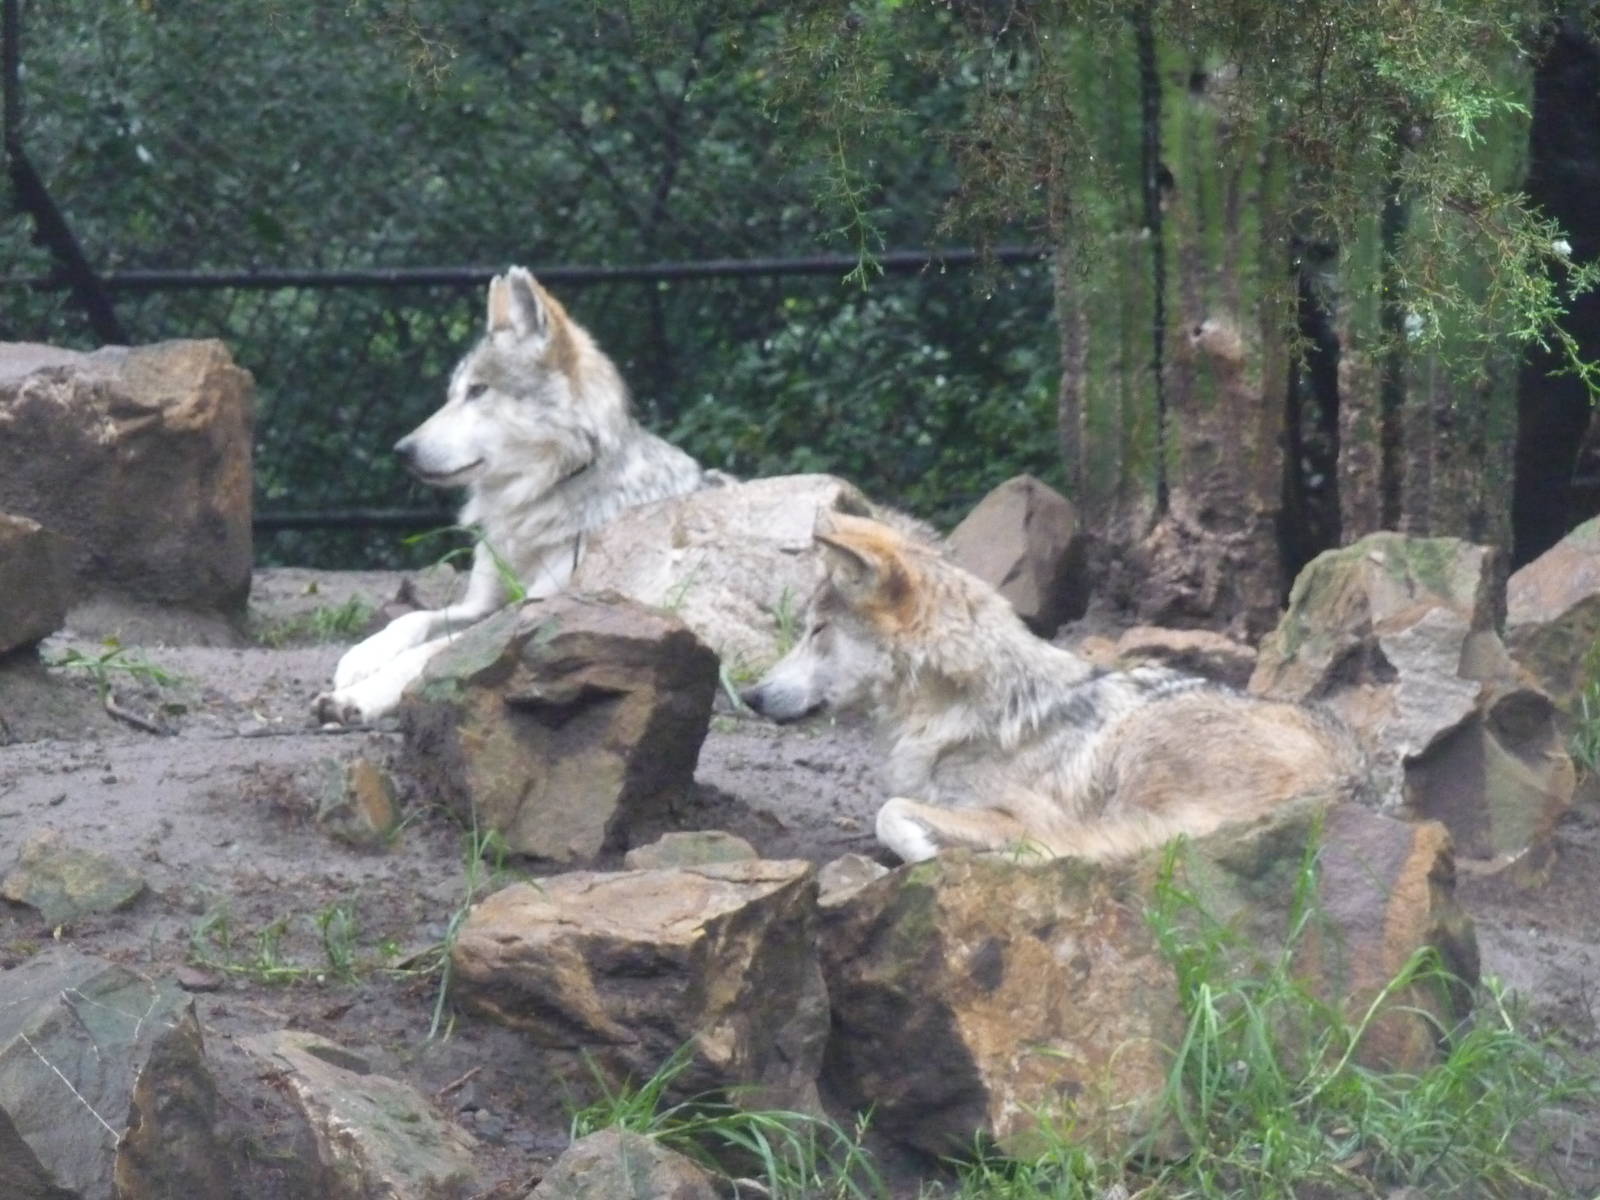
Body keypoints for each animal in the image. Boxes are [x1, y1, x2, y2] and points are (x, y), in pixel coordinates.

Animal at [314, 267, 711, 725]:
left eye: (478, 391)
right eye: (452, 395)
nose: (401, 450)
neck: (534, 501)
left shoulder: (537, 609)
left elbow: (434, 651)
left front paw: (358, 696)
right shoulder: (483, 605)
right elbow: (416, 618)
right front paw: (361, 658)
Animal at [741, 512, 1372, 863]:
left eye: (817, 630)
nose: (747, 696)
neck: (959, 710)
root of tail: (1346, 777)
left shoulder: (1019, 816)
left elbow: (889, 811)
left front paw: (929, 853)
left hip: (1139, 752)